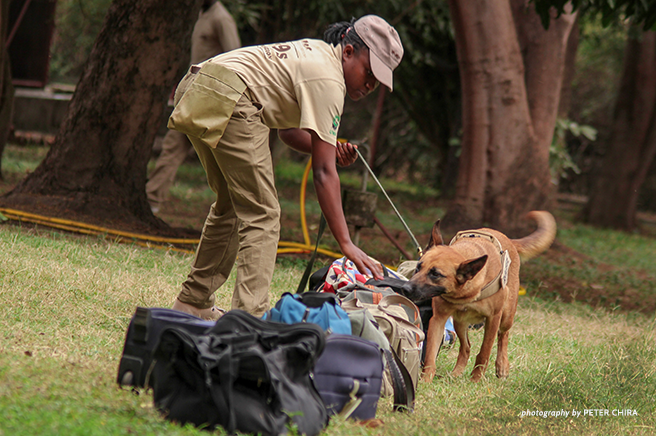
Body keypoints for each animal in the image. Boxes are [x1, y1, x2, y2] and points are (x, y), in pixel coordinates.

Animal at [402, 211, 556, 382]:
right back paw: (456, 374)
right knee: (466, 347)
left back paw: (502, 366)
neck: (465, 293)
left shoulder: (493, 319)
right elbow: (430, 355)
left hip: (506, 316)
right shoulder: (438, 319)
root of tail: (510, 240)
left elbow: (484, 352)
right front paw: (426, 380)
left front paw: (476, 379)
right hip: (460, 322)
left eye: (435, 274)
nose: (405, 288)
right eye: (418, 267)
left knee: (503, 337)